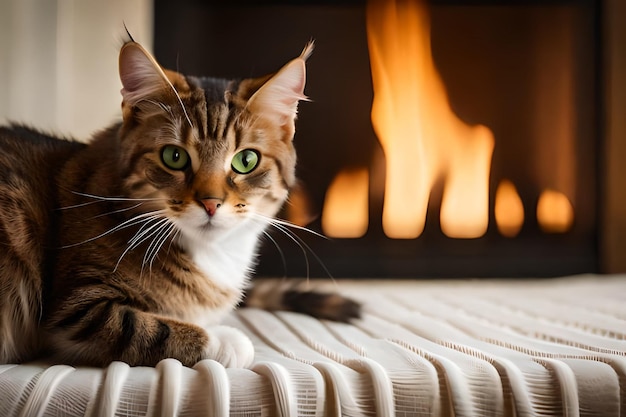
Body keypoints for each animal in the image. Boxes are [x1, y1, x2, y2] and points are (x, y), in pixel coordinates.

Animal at [0, 37, 358, 366]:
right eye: (174, 156)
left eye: (246, 161)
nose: (211, 203)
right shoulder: (77, 306)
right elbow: (144, 326)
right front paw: (225, 339)